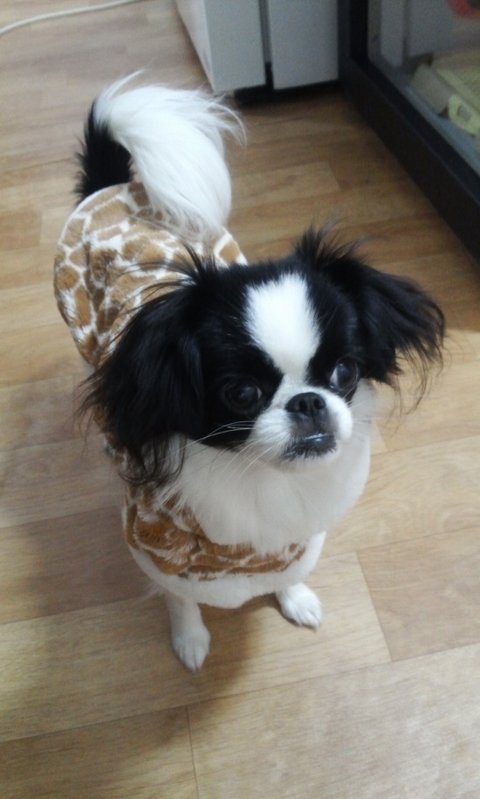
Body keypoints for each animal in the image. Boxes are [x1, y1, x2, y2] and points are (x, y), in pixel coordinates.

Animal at [54, 76, 444, 670]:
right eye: (241, 393)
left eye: (344, 371)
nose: (308, 402)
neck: (259, 477)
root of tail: (116, 187)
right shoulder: (158, 544)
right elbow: (180, 597)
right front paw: (190, 640)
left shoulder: (292, 537)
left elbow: (287, 570)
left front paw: (294, 598)